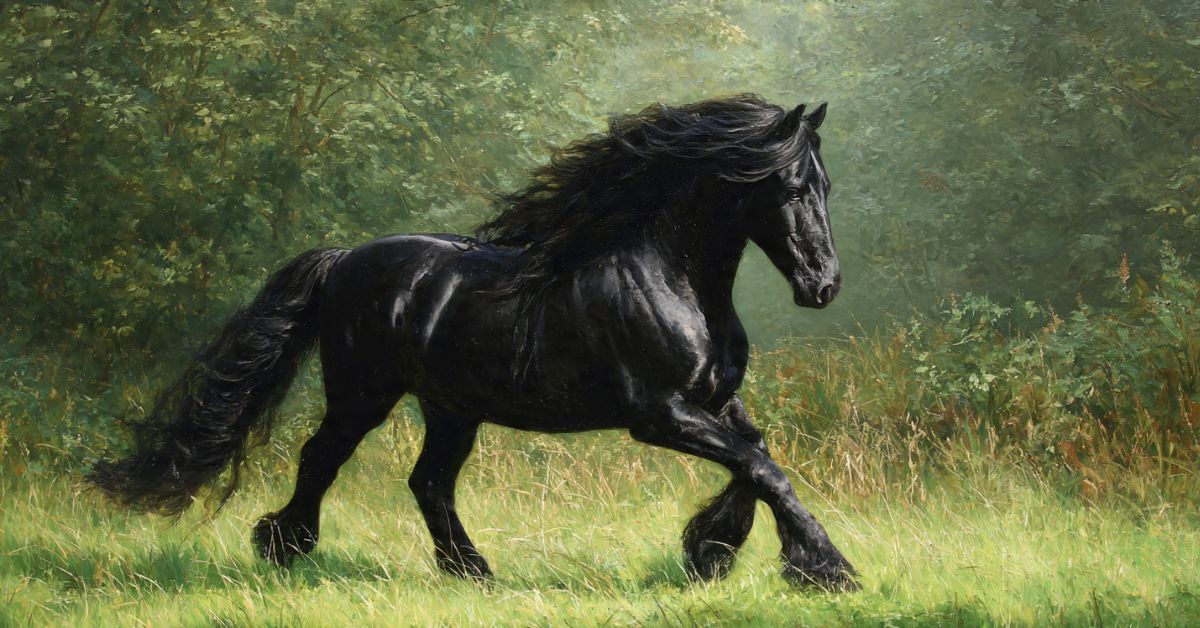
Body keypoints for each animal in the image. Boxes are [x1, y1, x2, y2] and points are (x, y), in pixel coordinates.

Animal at [89, 94, 856, 590]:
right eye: (792, 187)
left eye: (825, 186)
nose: (823, 285)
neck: (670, 277)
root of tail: (344, 259)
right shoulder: (660, 414)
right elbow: (762, 468)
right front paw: (826, 569)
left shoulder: (714, 403)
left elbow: (755, 458)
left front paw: (711, 551)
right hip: (364, 396)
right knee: (322, 458)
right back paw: (285, 547)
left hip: (452, 409)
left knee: (428, 482)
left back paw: (470, 570)